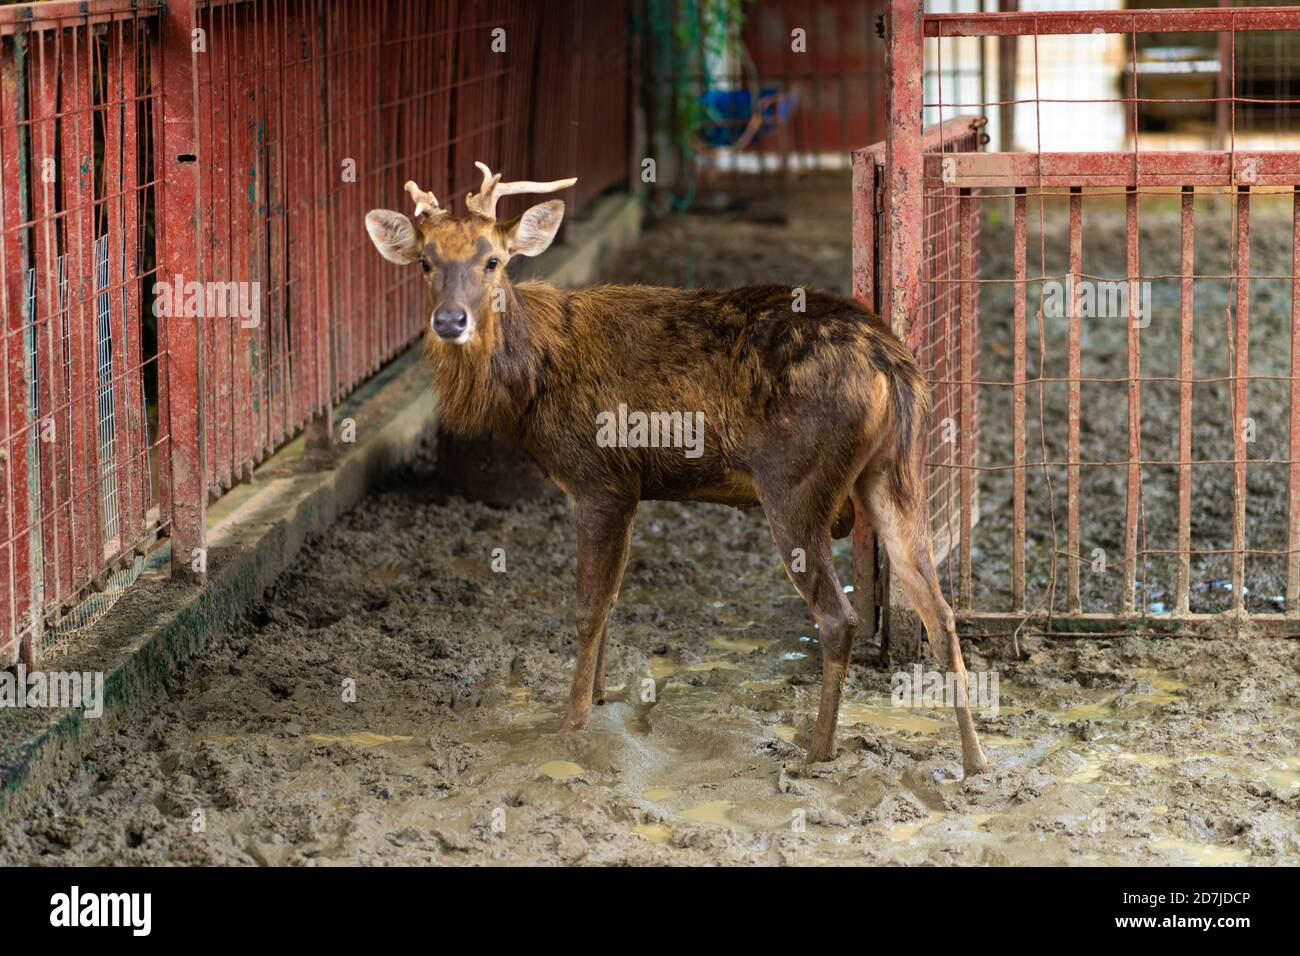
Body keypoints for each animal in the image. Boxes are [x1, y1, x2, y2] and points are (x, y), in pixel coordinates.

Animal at [364, 164, 989, 777]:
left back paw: (814, 754)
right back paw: (975, 760)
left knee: (839, 618)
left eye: (492, 259)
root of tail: (893, 363)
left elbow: (588, 605)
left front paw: (570, 723)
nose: (450, 320)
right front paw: (599, 697)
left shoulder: (598, 478)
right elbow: (613, 598)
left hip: (795, 483)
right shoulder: (628, 486)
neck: (530, 384)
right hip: (895, 474)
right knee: (938, 612)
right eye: (425, 261)